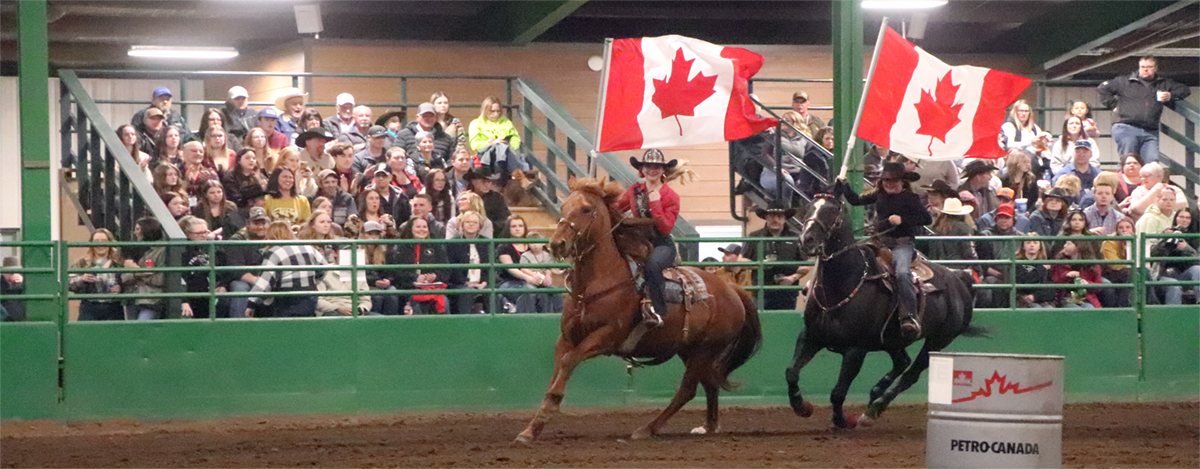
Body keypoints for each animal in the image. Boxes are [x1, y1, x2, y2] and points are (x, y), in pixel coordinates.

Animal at [513, 177, 758, 443]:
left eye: (586, 209)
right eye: (564, 205)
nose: (557, 244)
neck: (598, 282)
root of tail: (732, 289)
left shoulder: (605, 337)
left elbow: (568, 363)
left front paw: (547, 411)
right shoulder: (567, 337)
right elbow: (557, 370)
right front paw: (532, 428)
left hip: (704, 351)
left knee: (687, 390)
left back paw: (647, 429)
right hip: (690, 350)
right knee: (709, 384)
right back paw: (709, 426)